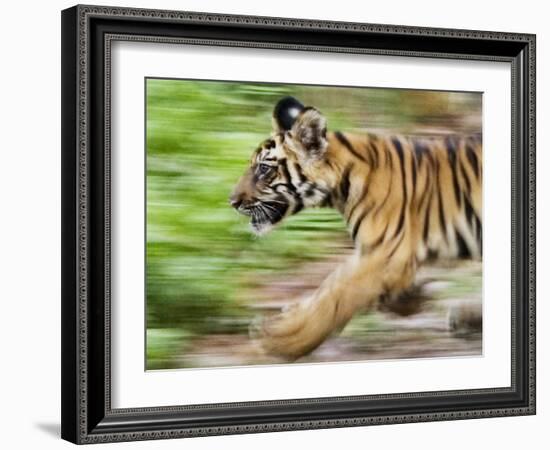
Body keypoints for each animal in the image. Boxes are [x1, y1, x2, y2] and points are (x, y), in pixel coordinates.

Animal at [229, 96, 484, 360]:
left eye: (264, 169)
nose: (232, 201)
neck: (341, 190)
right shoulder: (373, 252)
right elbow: (330, 286)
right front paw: (412, 297)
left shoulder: (384, 254)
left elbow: (334, 299)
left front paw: (279, 339)